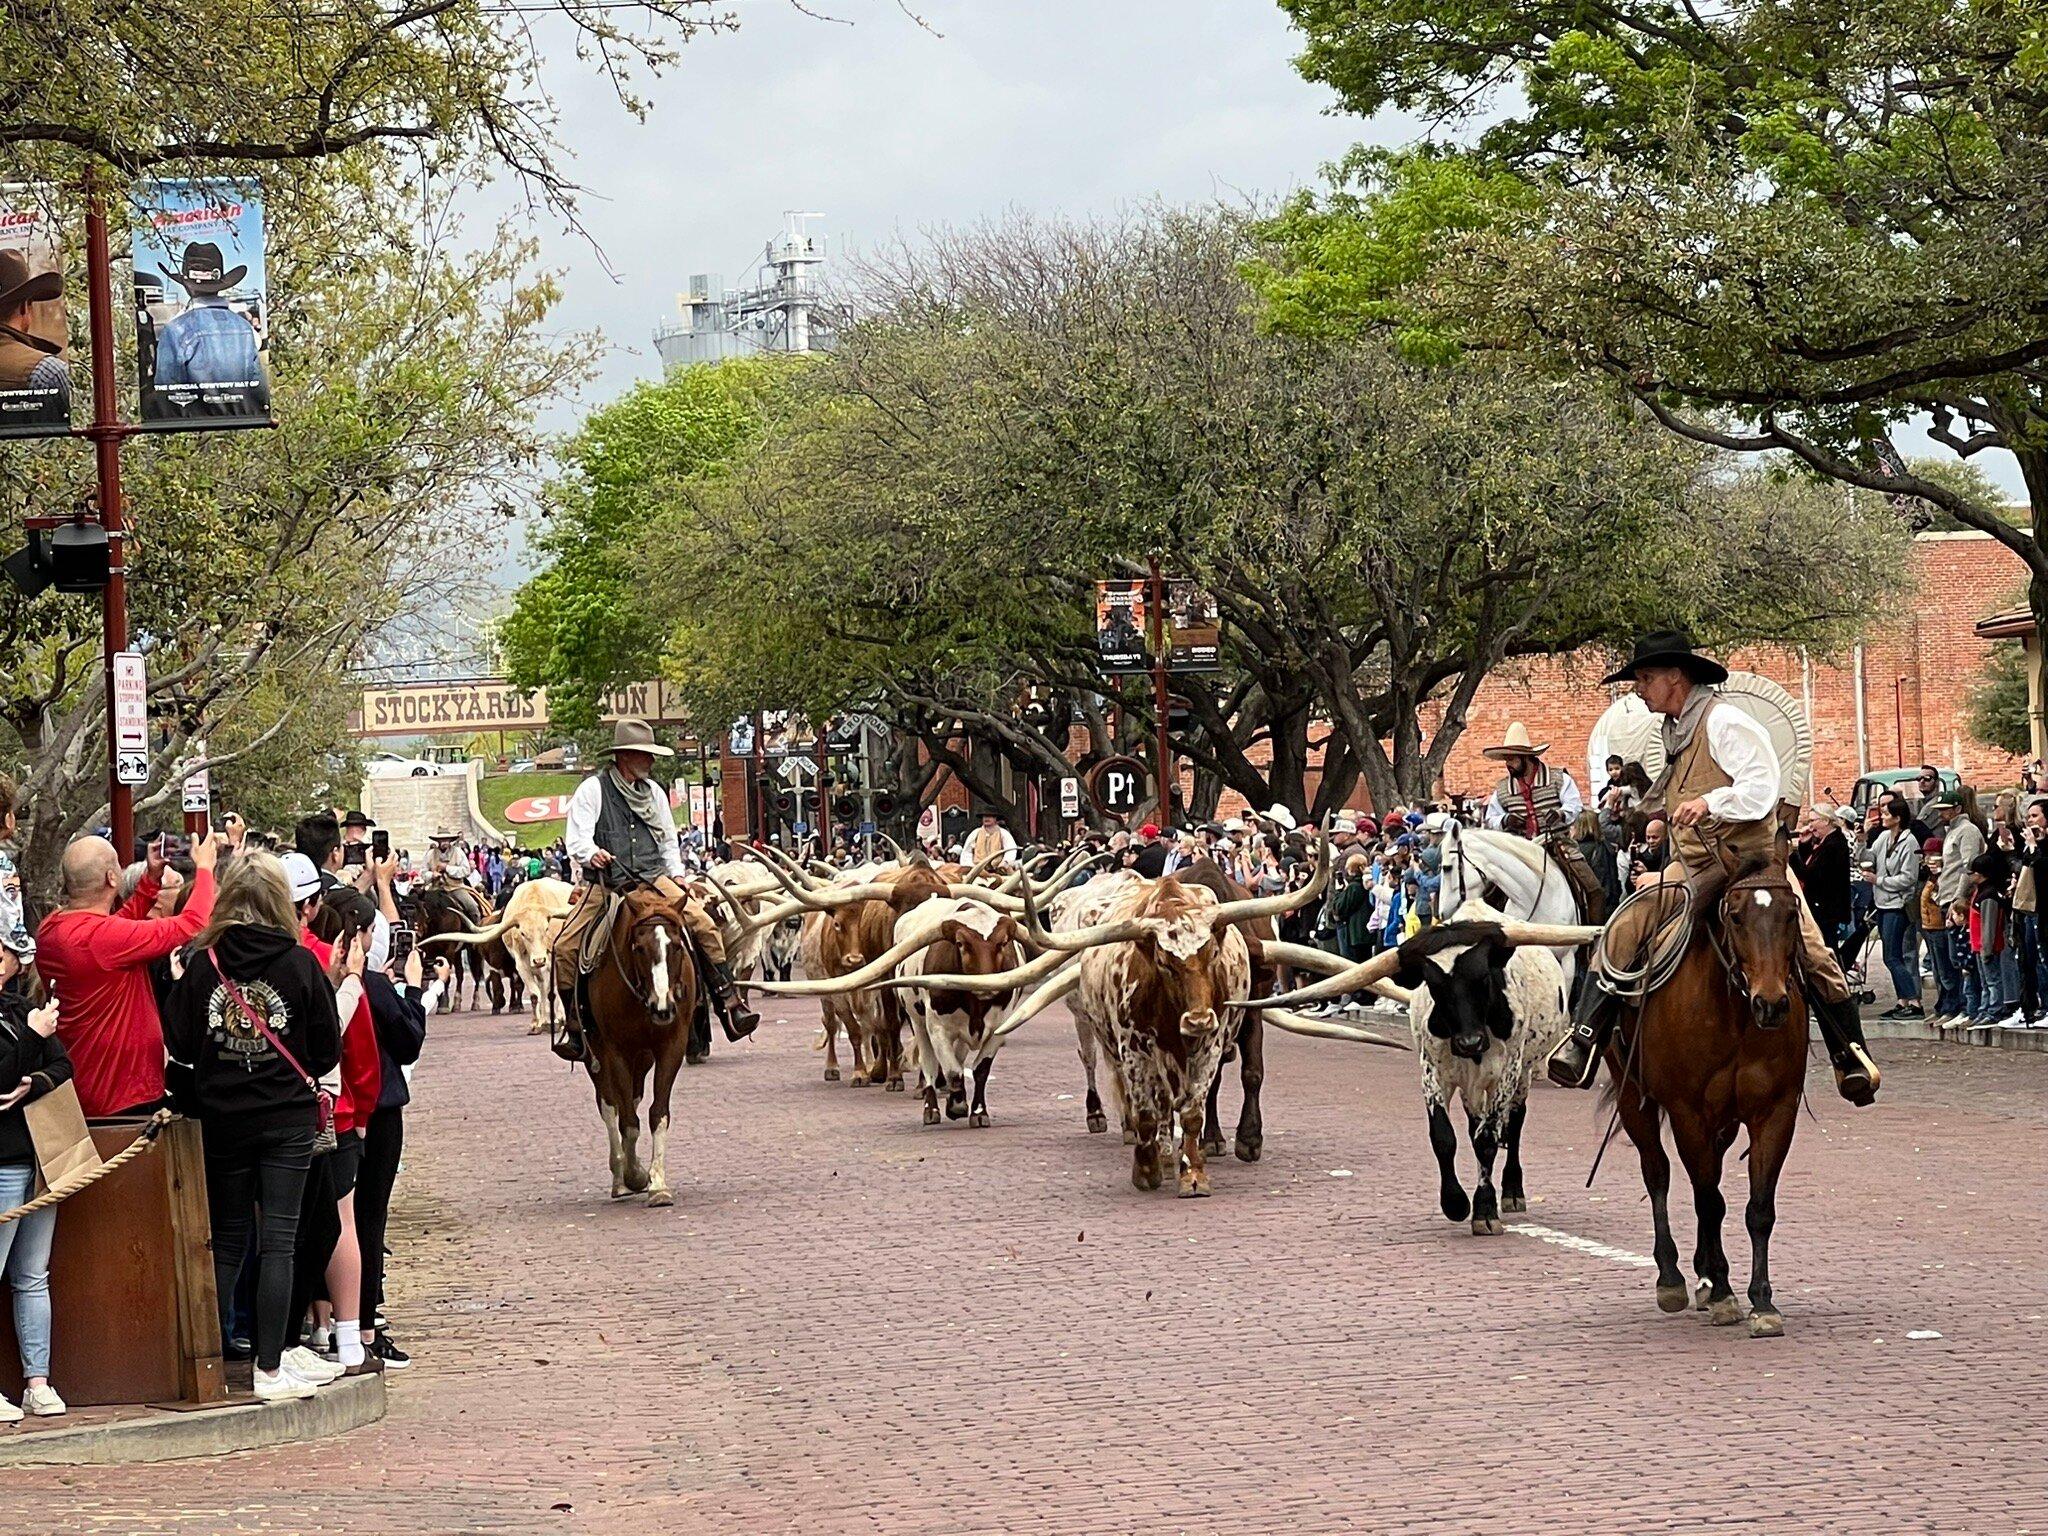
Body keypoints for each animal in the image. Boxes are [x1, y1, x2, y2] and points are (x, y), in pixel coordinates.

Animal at [581, 897, 700, 1212]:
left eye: (676, 946)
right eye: (639, 948)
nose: (663, 1007)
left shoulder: (671, 1047)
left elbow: (657, 1114)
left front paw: (657, 1184)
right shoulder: (616, 1052)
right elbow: (628, 1122)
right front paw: (634, 1175)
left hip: (643, 1059)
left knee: (630, 1100)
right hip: (596, 1057)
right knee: (610, 1107)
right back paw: (620, 1179)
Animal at [1605, 872, 1802, 1343]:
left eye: (1792, 913)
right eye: (1736, 916)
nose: (1771, 1004)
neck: (1735, 1016)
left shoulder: (1775, 1113)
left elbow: (1757, 1209)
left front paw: (1761, 1302)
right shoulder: (1687, 1114)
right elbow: (1708, 1201)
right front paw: (1726, 1293)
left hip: (1722, 1124)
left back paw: (1705, 1277)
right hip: (1631, 1097)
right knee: (1659, 1172)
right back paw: (1674, 1278)